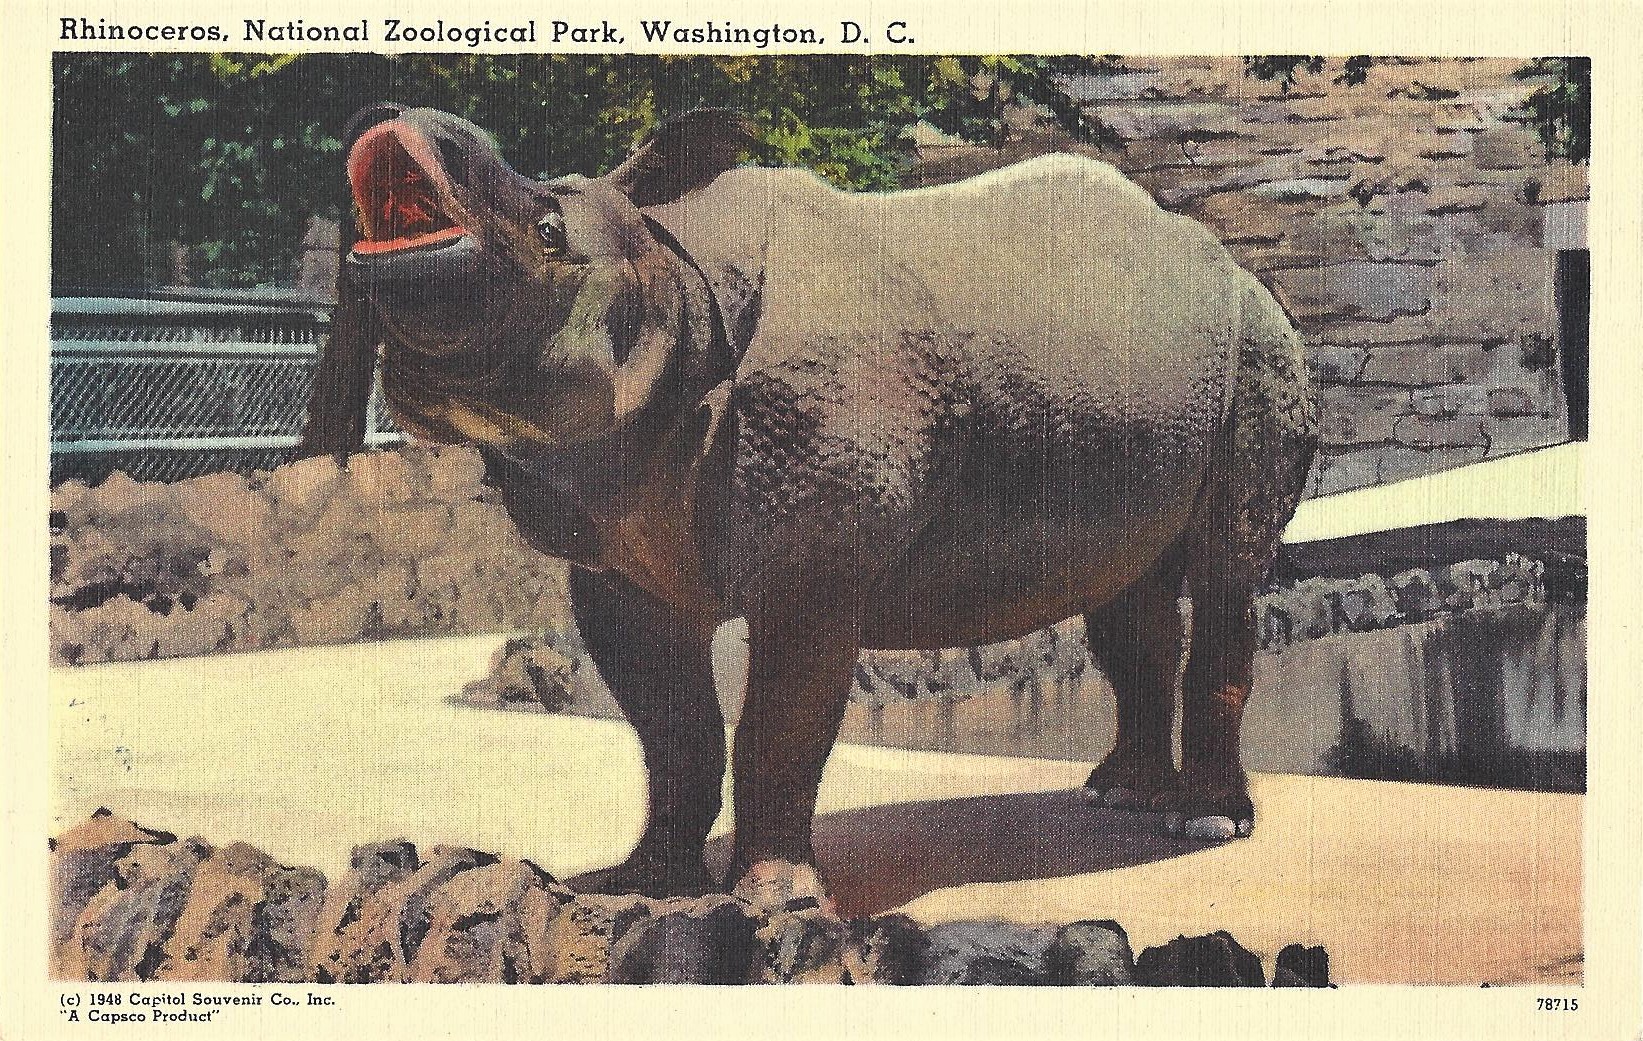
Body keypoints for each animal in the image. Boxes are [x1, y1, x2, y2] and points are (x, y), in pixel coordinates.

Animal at [328, 103, 1318, 910]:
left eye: (547, 230)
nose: (398, 120)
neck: (675, 274)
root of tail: (1226, 260)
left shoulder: (818, 563)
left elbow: (780, 720)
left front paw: (777, 901)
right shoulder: (616, 561)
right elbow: (673, 730)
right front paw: (643, 884)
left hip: (1261, 343)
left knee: (1225, 568)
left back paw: (1202, 825)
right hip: (1135, 372)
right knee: (1128, 585)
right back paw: (1118, 795)